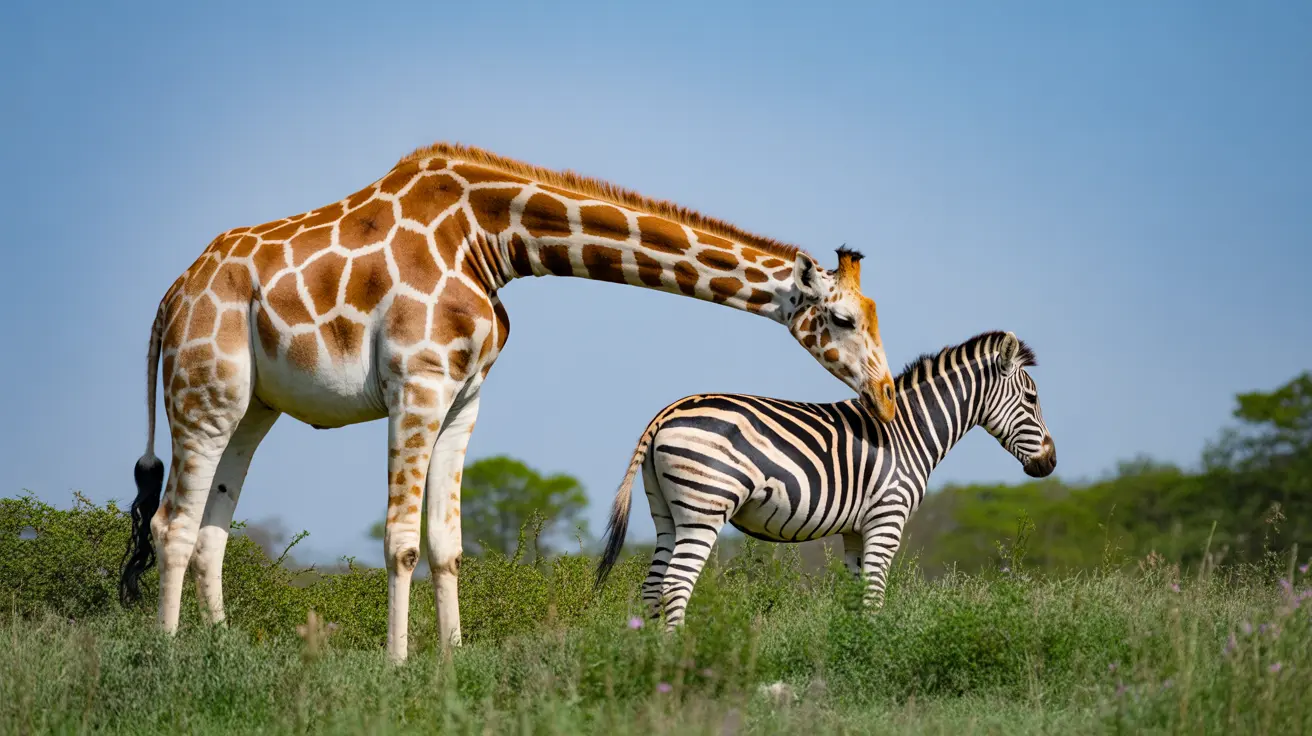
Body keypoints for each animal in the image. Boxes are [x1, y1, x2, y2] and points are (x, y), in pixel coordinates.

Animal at [118, 142, 899, 662]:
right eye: (844, 320)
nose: (887, 399)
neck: (493, 238)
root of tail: (169, 300)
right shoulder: (416, 383)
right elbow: (401, 540)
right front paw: (398, 665)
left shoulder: (464, 397)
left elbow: (447, 542)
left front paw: (451, 658)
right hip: (202, 391)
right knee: (170, 523)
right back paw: (169, 655)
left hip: (252, 404)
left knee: (213, 524)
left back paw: (220, 646)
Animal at [594, 330, 1056, 627]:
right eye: (1032, 398)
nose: (1050, 462)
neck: (909, 430)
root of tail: (668, 412)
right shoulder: (887, 517)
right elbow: (874, 594)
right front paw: (875, 654)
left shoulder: (855, 528)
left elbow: (856, 594)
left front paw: (852, 651)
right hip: (703, 507)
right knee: (675, 585)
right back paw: (678, 663)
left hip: (667, 513)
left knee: (653, 588)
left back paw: (650, 662)